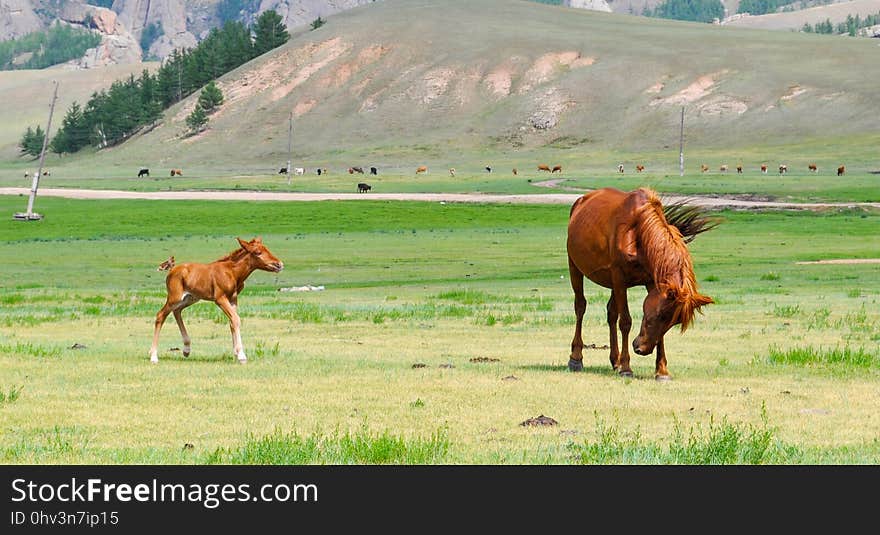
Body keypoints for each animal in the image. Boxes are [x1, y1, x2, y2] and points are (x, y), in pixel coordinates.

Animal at [150, 238, 284, 364]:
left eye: (267, 249)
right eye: (257, 252)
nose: (279, 264)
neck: (232, 272)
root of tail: (171, 270)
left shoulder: (233, 299)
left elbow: (232, 322)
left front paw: (235, 354)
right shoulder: (220, 299)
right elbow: (236, 319)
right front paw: (241, 356)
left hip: (190, 298)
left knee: (177, 311)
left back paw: (186, 350)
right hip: (174, 297)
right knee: (161, 315)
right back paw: (153, 356)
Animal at [564, 188, 716, 382]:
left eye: (674, 321)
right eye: (660, 315)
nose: (642, 349)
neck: (639, 232)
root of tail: (581, 201)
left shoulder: (652, 282)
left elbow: (657, 334)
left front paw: (662, 371)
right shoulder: (619, 279)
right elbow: (625, 322)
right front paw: (626, 368)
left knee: (611, 313)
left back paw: (615, 360)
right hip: (575, 267)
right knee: (580, 307)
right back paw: (576, 358)